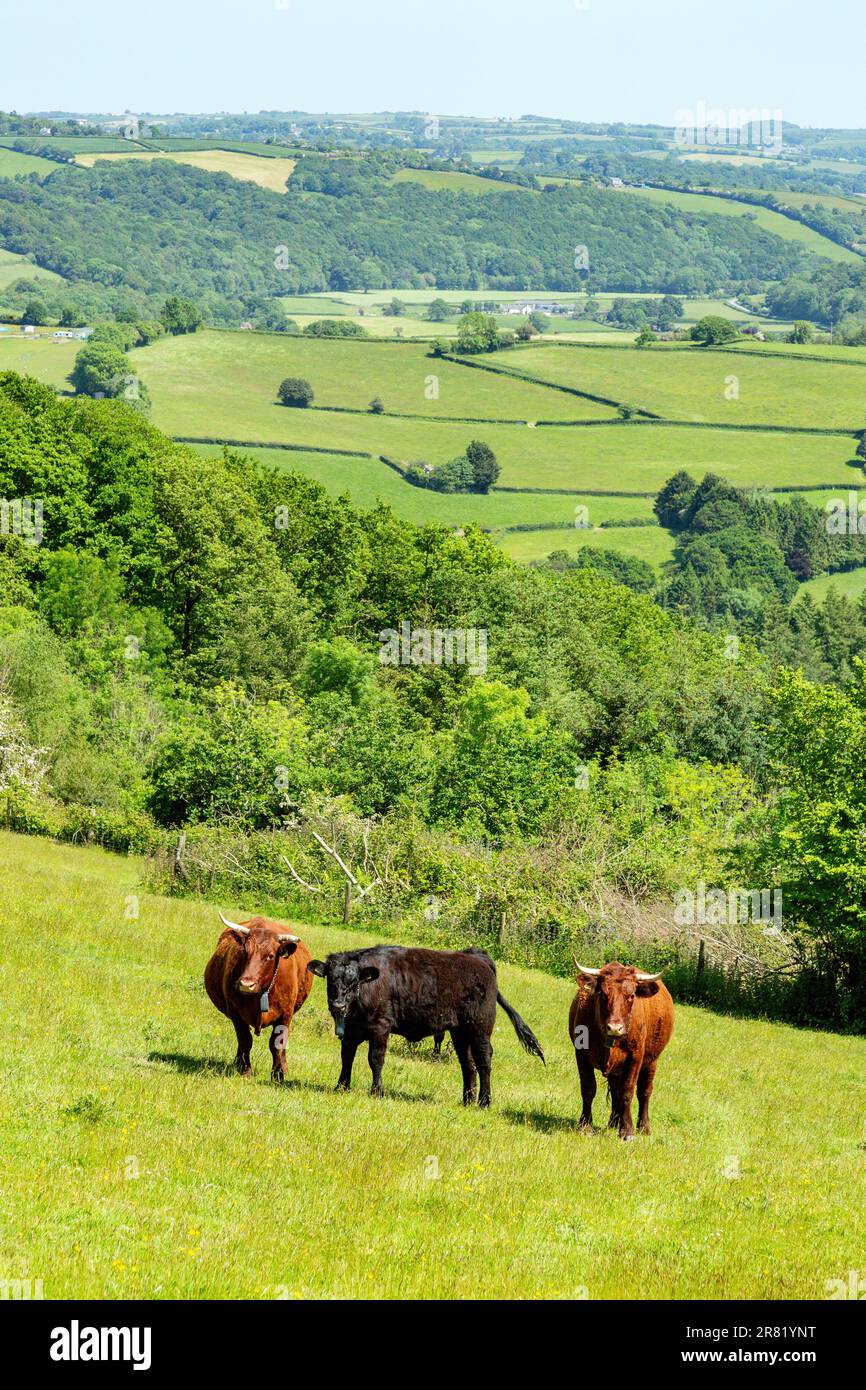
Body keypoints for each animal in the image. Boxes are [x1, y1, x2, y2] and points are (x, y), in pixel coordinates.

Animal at [204, 912, 312, 1082]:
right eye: (245, 952)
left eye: (270, 956)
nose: (246, 984)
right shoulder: (236, 1013)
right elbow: (245, 1040)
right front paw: (245, 1070)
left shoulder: (286, 1015)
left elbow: (277, 1044)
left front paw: (278, 1075)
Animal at [308, 944, 544, 1106]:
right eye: (330, 979)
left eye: (355, 981)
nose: (338, 1005)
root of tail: (478, 957)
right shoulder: (350, 1032)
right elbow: (346, 1057)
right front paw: (341, 1086)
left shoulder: (380, 1026)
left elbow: (375, 1059)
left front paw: (377, 1091)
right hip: (460, 1033)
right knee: (468, 1064)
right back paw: (467, 1100)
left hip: (480, 1029)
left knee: (484, 1060)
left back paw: (484, 1101)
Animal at [568, 961, 674, 1140]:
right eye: (603, 994)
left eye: (631, 996)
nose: (615, 1028)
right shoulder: (581, 1054)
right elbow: (588, 1088)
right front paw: (585, 1125)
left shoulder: (635, 1057)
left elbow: (627, 1092)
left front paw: (627, 1131)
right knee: (615, 1089)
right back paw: (614, 1121)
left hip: (652, 1061)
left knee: (644, 1091)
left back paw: (643, 1127)